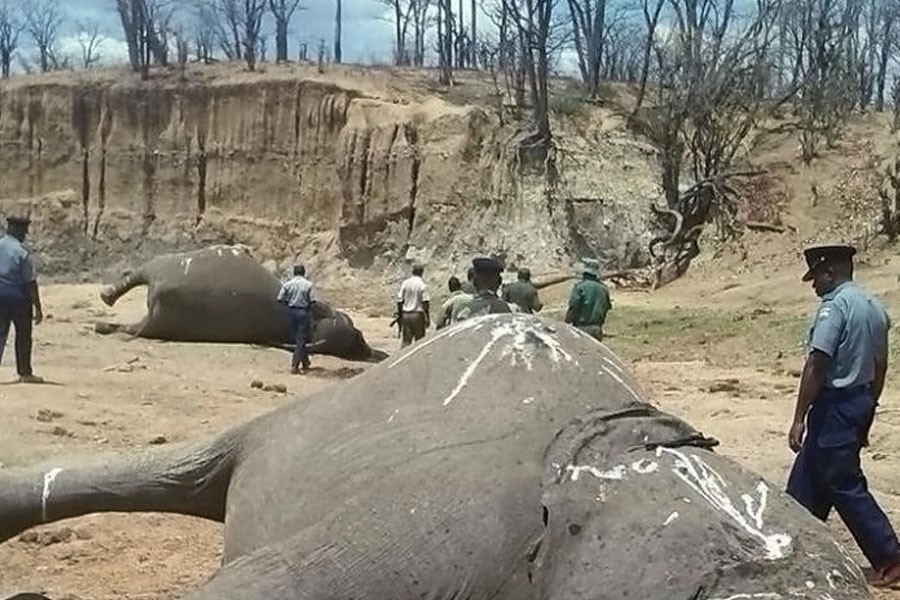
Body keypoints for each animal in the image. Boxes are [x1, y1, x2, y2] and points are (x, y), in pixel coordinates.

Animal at [95, 244, 386, 360]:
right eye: (358, 332)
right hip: (159, 266)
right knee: (132, 280)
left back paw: (103, 321)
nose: (372, 352)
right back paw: (105, 302)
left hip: (156, 310)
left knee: (131, 324)